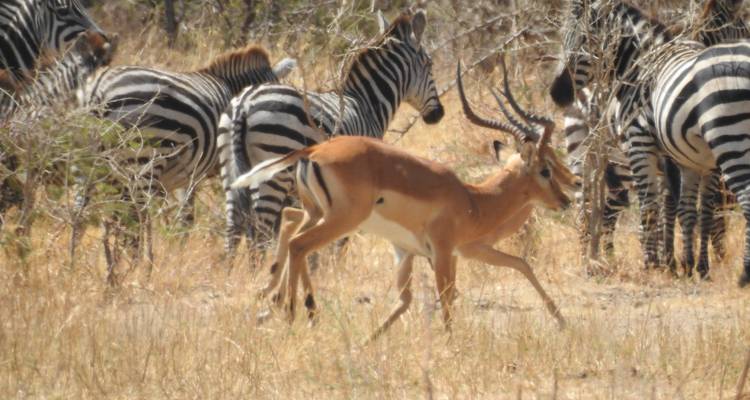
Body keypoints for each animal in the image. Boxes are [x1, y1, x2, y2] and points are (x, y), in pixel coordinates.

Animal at [78, 45, 295, 284]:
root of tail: (100, 87)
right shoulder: (199, 171)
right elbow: (188, 217)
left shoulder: (188, 173)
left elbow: (184, 215)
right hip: (144, 156)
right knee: (135, 215)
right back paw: (136, 266)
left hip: (89, 160)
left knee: (81, 212)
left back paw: (81, 263)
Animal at [219, 9, 444, 254]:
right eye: (429, 65)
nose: (439, 114)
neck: (367, 104)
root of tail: (244, 102)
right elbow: (341, 238)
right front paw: (333, 262)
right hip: (273, 170)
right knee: (259, 232)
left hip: (230, 168)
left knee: (233, 227)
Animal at [551, 0, 750, 284]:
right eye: (563, 37)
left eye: (586, 40)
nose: (557, 93)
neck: (642, 66)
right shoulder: (682, 156)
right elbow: (685, 208)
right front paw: (684, 264)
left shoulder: (643, 143)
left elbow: (655, 206)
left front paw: (658, 263)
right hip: (585, 151)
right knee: (588, 202)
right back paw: (591, 258)